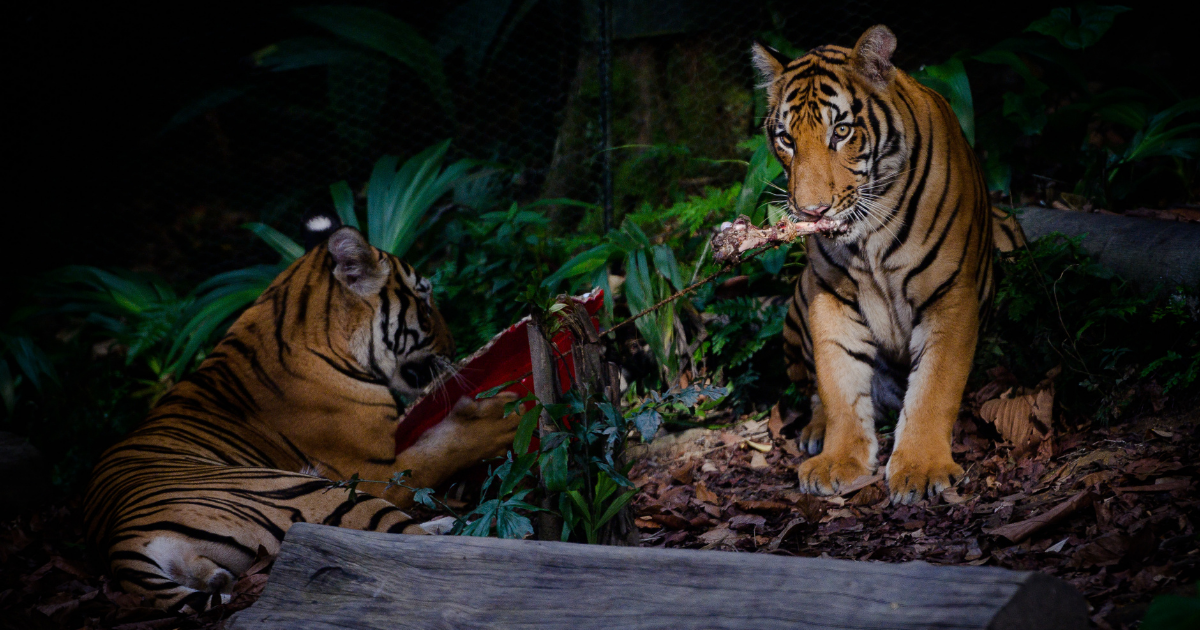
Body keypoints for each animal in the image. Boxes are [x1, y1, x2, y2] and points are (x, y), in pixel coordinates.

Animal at [84, 219, 522, 611]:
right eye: (425, 301)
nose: (454, 347)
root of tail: (123, 544)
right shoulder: (378, 469)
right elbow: (445, 446)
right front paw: (505, 416)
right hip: (322, 493)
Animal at [752, 25, 1023, 505]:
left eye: (841, 131)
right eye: (786, 139)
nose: (812, 211)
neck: (867, 238)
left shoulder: (950, 295)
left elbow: (935, 387)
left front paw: (921, 469)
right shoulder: (829, 294)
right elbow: (838, 382)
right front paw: (840, 460)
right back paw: (815, 433)